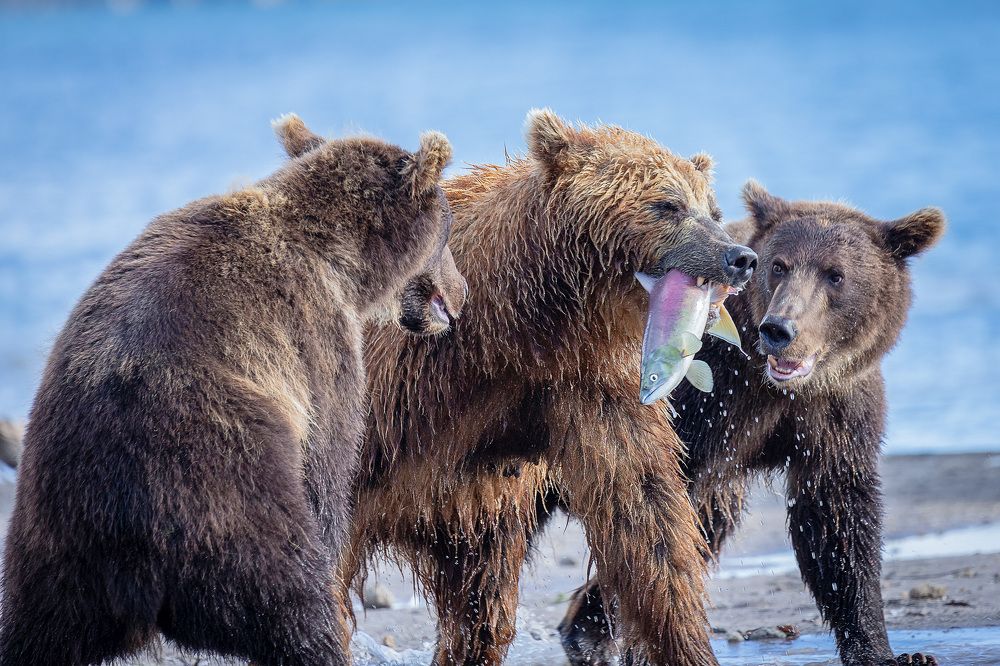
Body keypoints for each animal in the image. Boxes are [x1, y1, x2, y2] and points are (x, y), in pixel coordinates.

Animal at [0, 115, 460, 666]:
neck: (342, 262)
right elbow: (328, 465)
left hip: (52, 542)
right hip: (222, 486)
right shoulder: (317, 342)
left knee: (35, 629)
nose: (462, 292)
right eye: (448, 228)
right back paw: (322, 638)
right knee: (287, 595)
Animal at [343, 109, 758, 666]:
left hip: (472, 517)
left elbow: (647, 517)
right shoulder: (393, 389)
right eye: (668, 204)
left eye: (712, 209)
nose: (739, 256)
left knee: (480, 604)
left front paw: (685, 643)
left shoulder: (584, 387)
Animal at [557, 182, 946, 666]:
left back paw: (587, 629)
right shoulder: (711, 399)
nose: (780, 329)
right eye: (779, 265)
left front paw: (885, 650)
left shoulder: (834, 414)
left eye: (835, 275)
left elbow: (837, 521)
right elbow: (653, 509)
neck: (772, 384)